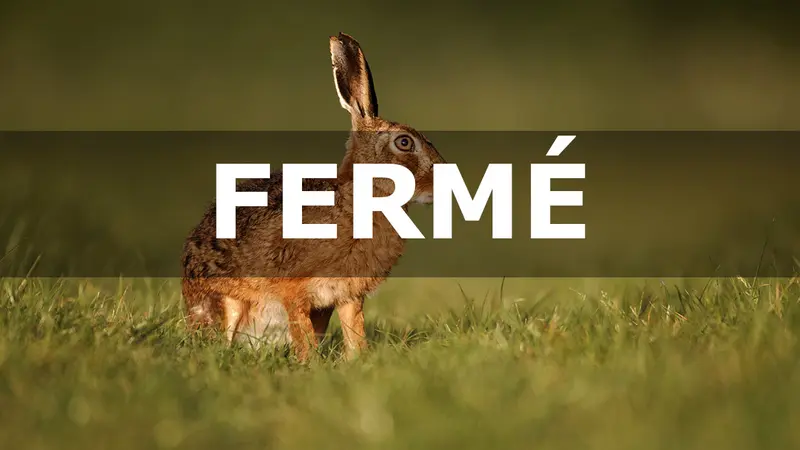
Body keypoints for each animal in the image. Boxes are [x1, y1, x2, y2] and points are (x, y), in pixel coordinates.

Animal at [180, 33, 447, 362]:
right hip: (226, 304)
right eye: (405, 143)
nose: (441, 181)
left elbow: (354, 331)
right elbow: (302, 332)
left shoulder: (348, 296)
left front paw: (357, 360)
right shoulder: (294, 289)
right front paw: (310, 364)